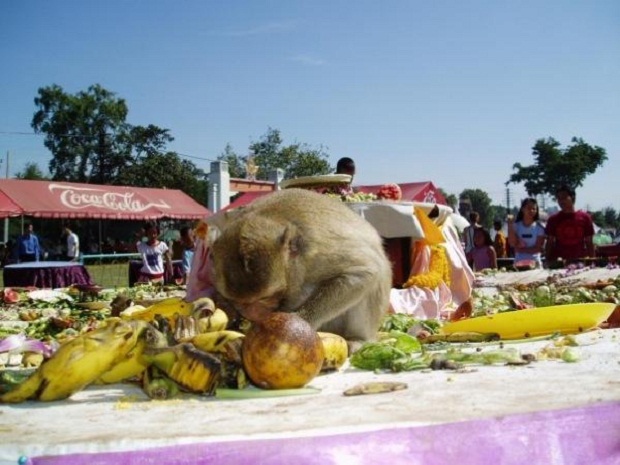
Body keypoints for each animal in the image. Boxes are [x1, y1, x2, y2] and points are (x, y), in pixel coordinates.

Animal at [208, 187, 392, 346]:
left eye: (265, 298)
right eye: (240, 303)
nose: (251, 314)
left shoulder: (317, 252)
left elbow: (365, 271)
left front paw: (301, 320)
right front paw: (227, 310)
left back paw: (358, 339)